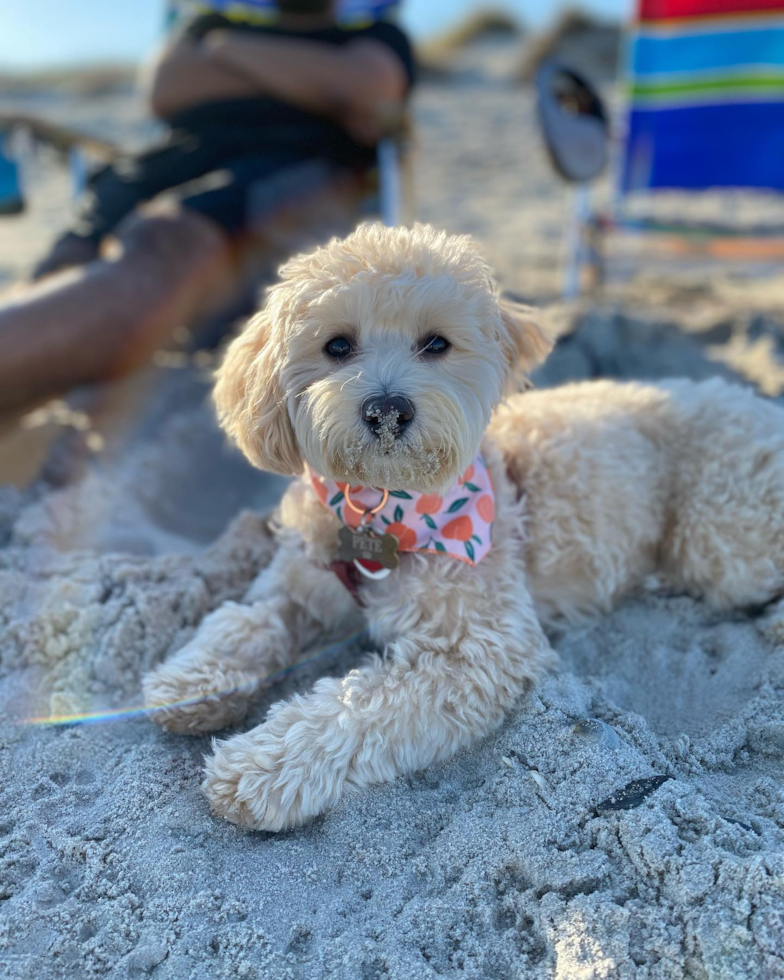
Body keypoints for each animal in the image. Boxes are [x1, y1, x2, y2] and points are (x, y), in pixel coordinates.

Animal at [141, 226, 784, 832]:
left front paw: (260, 768)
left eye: (436, 344)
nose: (387, 409)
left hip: (722, 534)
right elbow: (245, 620)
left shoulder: (478, 653)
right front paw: (194, 681)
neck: (381, 510)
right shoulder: (298, 583)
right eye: (337, 345)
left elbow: (353, 706)